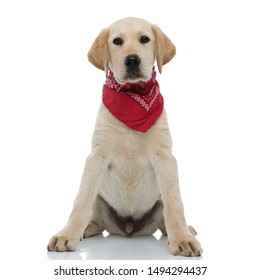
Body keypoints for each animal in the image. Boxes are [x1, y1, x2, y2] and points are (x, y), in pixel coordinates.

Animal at [47, 17, 202, 258]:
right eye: (117, 41)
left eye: (145, 39)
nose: (132, 60)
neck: (133, 97)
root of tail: (129, 228)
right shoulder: (97, 157)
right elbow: (81, 201)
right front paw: (67, 234)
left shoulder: (164, 157)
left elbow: (175, 204)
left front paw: (182, 237)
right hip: (100, 199)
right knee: (96, 218)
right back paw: (86, 229)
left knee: (165, 216)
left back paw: (185, 229)